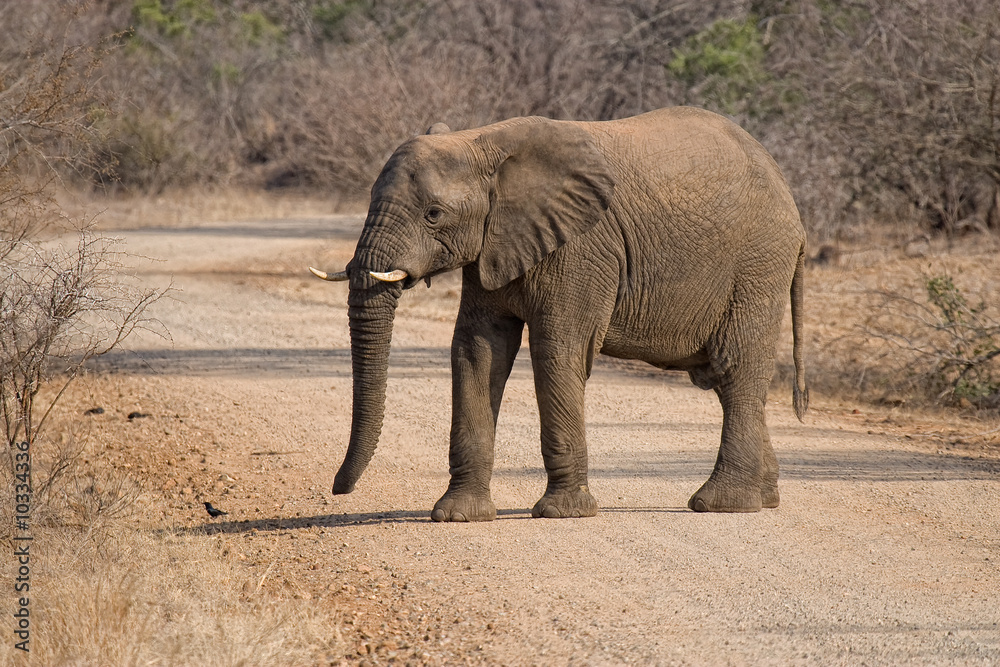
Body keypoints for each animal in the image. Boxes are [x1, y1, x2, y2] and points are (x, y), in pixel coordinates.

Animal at [309, 106, 807, 520]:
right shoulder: (492, 246)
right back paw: (766, 498)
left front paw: (562, 513)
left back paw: (720, 504)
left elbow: (557, 350)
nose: (337, 489)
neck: (483, 142)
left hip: (758, 263)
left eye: (434, 214)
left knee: (735, 369)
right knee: (725, 379)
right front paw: (457, 516)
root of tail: (788, 193)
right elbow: (477, 351)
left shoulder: (581, 248)